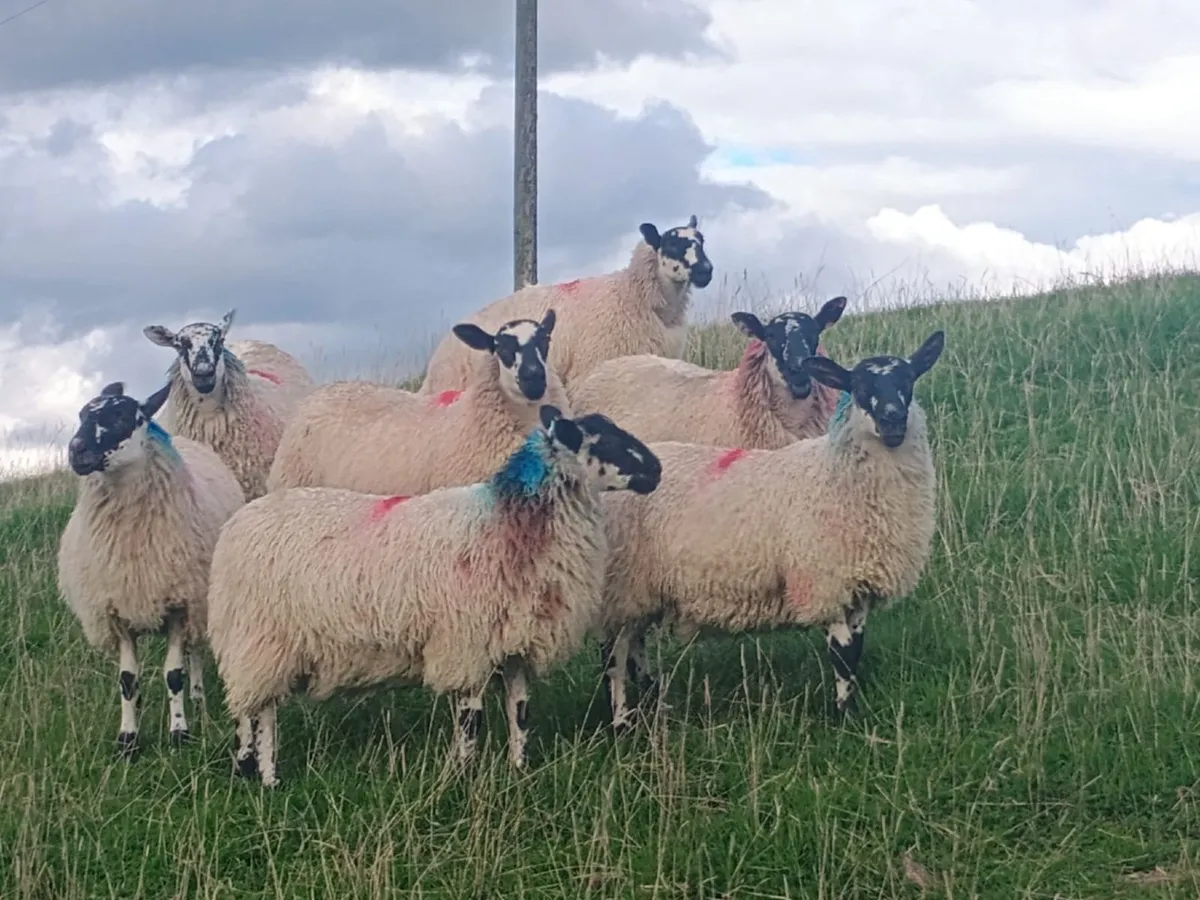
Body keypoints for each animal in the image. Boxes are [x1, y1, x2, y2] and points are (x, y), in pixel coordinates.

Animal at [56, 381, 246, 758]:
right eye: (82, 415)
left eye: (122, 416)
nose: (75, 450)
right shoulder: (117, 611)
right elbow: (128, 681)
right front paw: (127, 740)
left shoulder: (178, 606)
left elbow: (173, 674)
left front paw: (179, 733)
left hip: (200, 601)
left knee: (194, 652)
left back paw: (197, 697)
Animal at [206, 404, 663, 786]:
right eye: (601, 442)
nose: (657, 470)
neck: (510, 523)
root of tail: (233, 527)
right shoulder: (467, 645)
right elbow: (471, 721)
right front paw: (464, 775)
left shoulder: (514, 641)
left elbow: (520, 711)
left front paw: (518, 768)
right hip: (262, 640)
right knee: (260, 711)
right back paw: (267, 776)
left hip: (250, 642)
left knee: (246, 708)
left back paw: (246, 765)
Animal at [596, 331, 946, 729]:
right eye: (858, 387)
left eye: (908, 381)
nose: (893, 420)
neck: (832, 474)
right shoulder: (824, 582)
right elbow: (842, 657)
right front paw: (844, 716)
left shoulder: (856, 588)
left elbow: (854, 652)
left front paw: (851, 710)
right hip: (622, 581)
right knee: (613, 656)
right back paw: (622, 722)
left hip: (640, 588)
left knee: (634, 643)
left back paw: (652, 693)